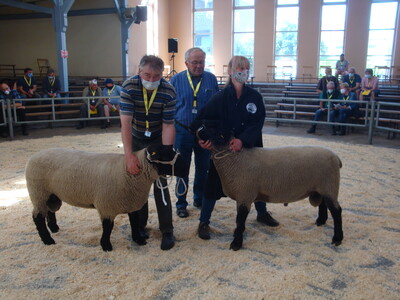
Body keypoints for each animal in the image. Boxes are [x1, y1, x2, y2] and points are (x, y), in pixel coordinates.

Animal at [25, 145, 188, 251]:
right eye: (165, 155)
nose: (187, 168)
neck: (127, 173)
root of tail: (34, 156)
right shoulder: (106, 206)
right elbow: (108, 227)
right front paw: (106, 245)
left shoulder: (132, 202)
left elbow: (134, 223)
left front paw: (138, 239)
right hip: (38, 193)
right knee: (37, 217)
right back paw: (48, 240)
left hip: (51, 195)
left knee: (50, 211)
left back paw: (54, 228)